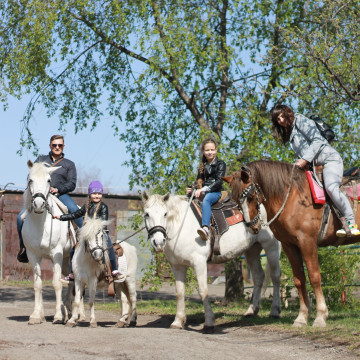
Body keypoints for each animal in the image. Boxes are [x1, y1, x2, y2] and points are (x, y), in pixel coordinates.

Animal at [21, 160, 74, 324]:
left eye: (49, 180)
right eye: (30, 180)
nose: (38, 204)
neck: (41, 224)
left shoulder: (56, 254)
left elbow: (56, 283)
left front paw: (57, 316)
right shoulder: (33, 255)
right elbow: (38, 284)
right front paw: (36, 315)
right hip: (66, 262)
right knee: (71, 282)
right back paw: (68, 311)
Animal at [143, 193, 282, 334]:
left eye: (165, 213)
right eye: (146, 214)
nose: (158, 242)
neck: (181, 226)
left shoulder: (199, 263)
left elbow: (203, 291)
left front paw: (209, 323)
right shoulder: (177, 266)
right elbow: (180, 292)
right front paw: (178, 322)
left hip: (271, 246)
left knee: (275, 276)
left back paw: (275, 311)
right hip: (252, 250)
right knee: (259, 276)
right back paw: (251, 311)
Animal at [225, 162, 360, 328]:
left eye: (250, 197)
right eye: (236, 201)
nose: (253, 227)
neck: (293, 197)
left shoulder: (307, 242)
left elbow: (314, 277)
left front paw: (321, 316)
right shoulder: (289, 245)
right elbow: (299, 280)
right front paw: (302, 317)